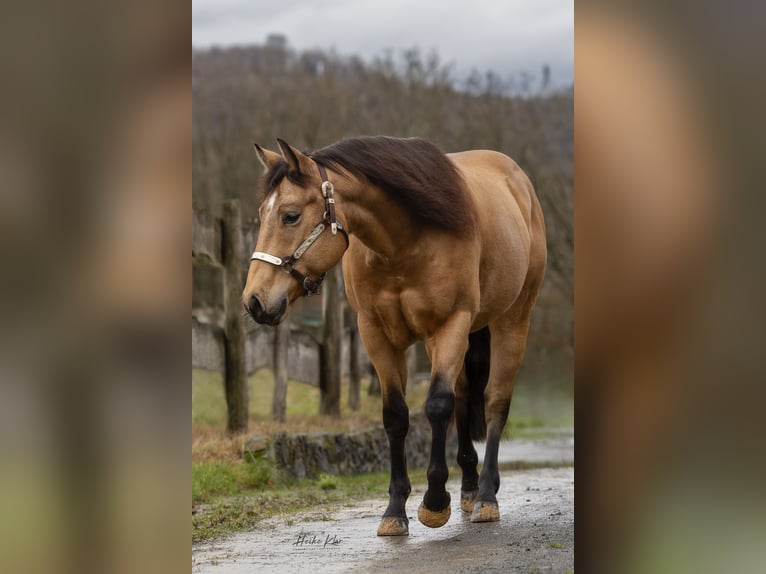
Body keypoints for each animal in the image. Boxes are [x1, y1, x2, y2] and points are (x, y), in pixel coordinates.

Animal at [243, 137, 548, 536]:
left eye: (290, 215)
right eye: (262, 213)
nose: (254, 301)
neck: (405, 241)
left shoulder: (449, 325)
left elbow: (437, 406)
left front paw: (434, 502)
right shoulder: (375, 334)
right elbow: (396, 415)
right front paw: (394, 510)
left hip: (511, 321)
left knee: (494, 401)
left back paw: (485, 496)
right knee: (465, 398)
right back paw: (468, 488)